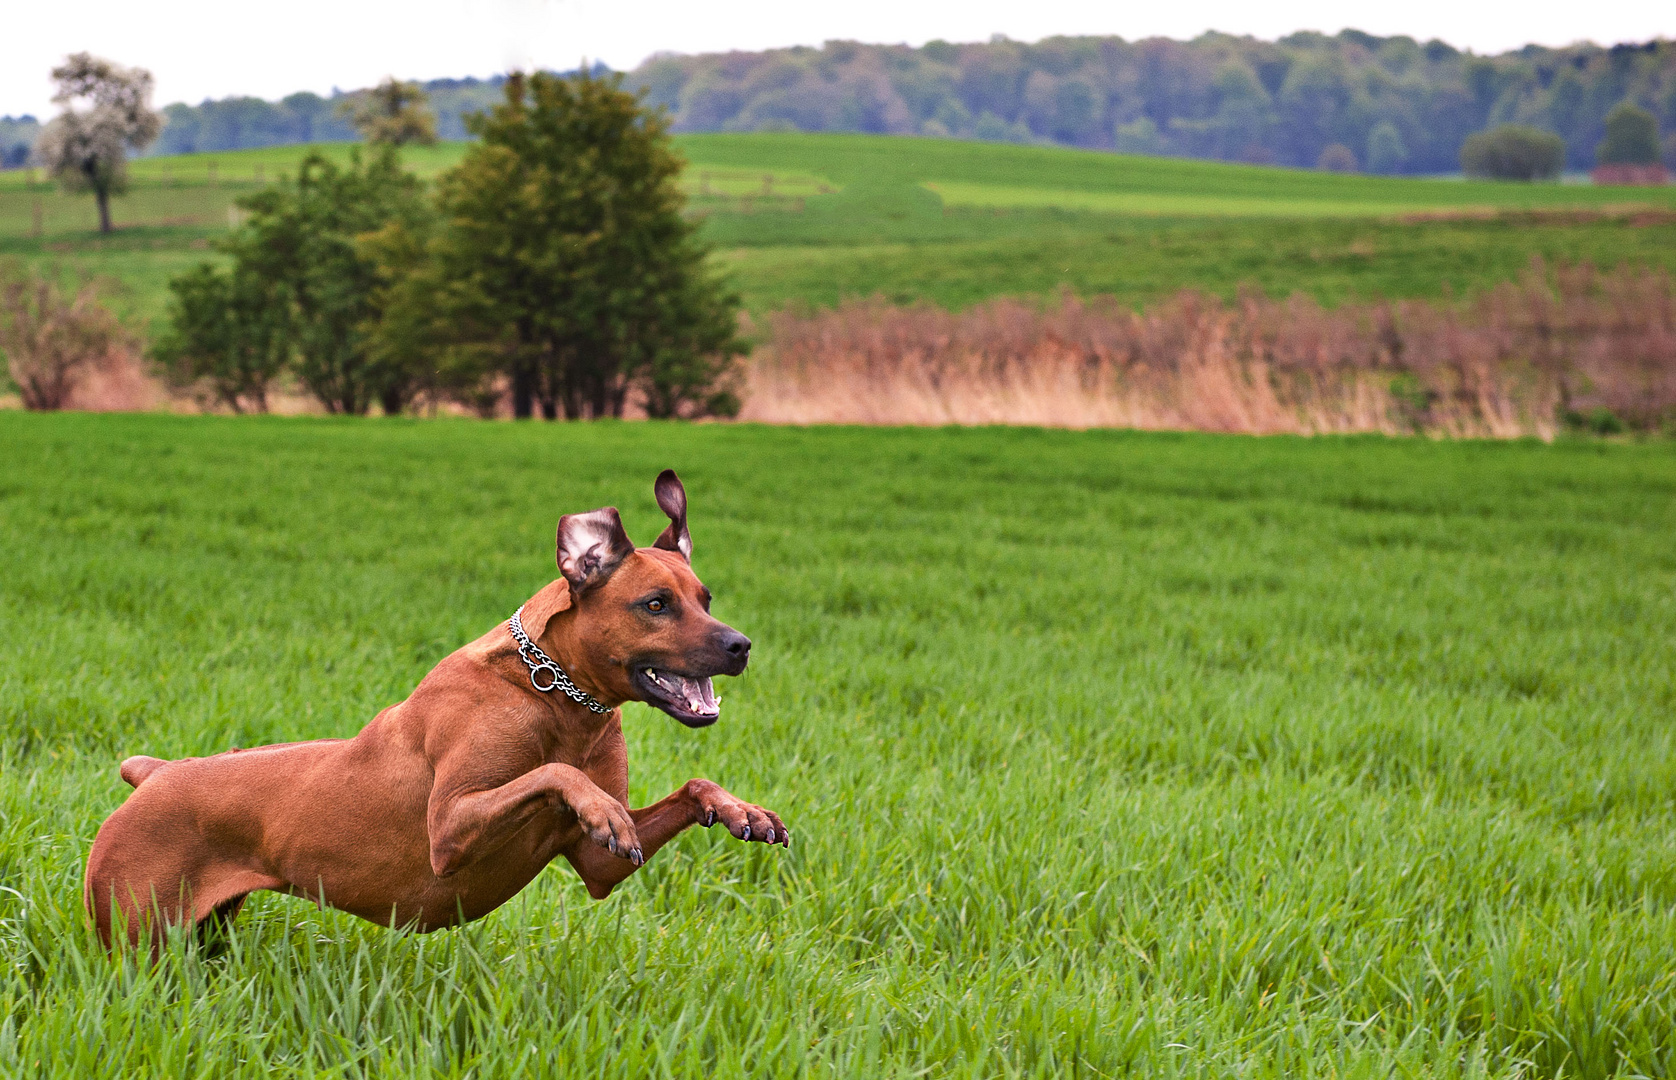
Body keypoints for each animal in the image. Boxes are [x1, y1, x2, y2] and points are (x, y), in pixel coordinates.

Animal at [80, 469, 784, 952]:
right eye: (656, 604)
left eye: (705, 597)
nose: (741, 645)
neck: (555, 693)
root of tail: (158, 774)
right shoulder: (448, 828)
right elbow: (553, 773)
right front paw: (599, 806)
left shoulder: (600, 866)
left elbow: (688, 787)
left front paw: (738, 810)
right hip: (137, 938)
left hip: (205, 935)